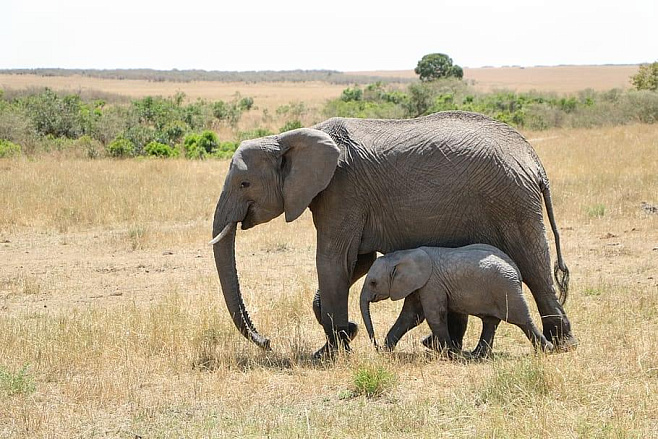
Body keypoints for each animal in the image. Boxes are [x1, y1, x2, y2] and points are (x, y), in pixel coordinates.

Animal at [362, 244, 552, 358]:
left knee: (522, 320)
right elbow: (410, 316)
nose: (376, 346)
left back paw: (547, 350)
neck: (402, 255)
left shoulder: (431, 283)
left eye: (373, 283)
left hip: (506, 288)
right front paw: (386, 350)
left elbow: (433, 316)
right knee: (490, 322)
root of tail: (516, 270)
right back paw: (477, 355)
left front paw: (449, 354)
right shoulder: (419, 285)